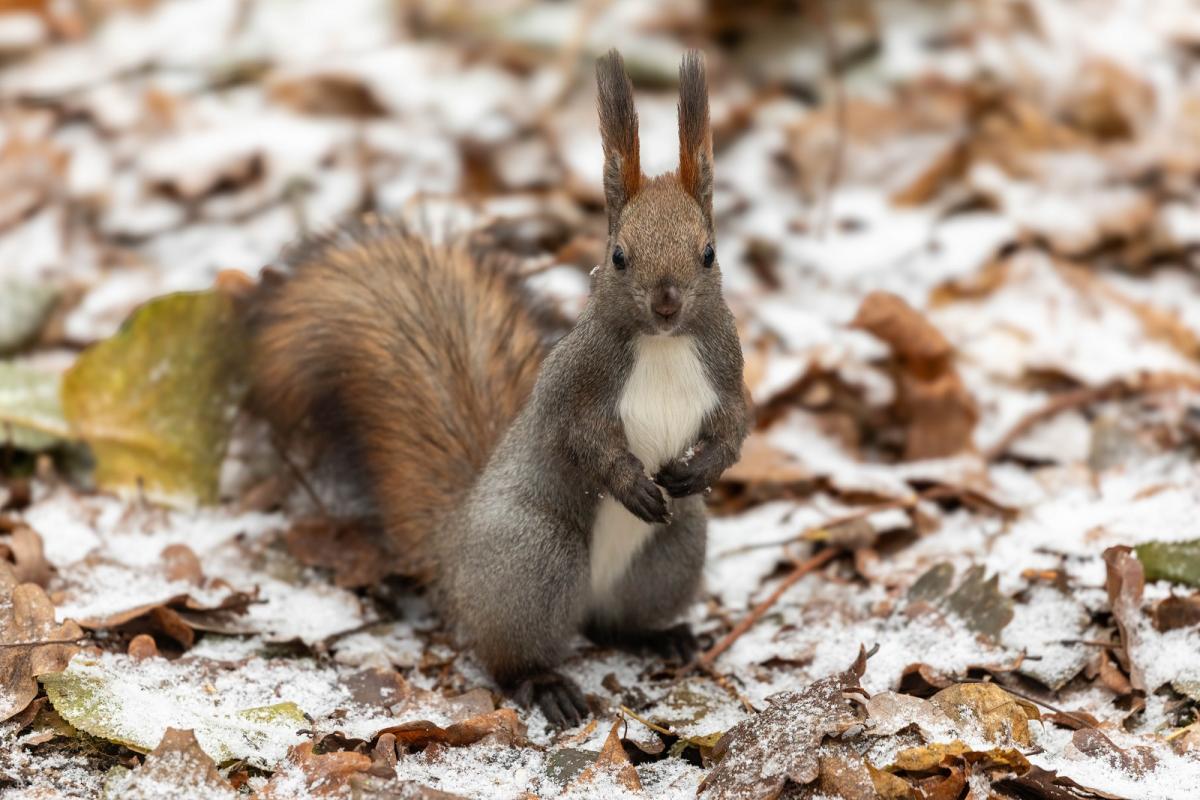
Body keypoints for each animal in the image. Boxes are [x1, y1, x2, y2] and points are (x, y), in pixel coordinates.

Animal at [246, 50, 748, 724]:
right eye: (618, 255)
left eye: (709, 252)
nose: (667, 303)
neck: (663, 343)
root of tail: (455, 558)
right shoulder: (575, 384)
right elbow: (581, 438)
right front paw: (631, 485)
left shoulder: (727, 368)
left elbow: (736, 426)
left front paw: (701, 468)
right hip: (533, 559)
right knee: (508, 650)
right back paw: (544, 683)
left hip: (674, 551)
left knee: (612, 623)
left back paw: (659, 636)